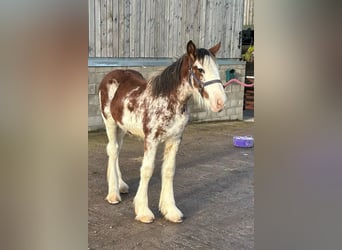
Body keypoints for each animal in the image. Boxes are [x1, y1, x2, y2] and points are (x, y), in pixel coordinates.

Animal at [98, 40, 227, 224]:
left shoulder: (175, 139)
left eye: (216, 68)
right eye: (199, 69)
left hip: (121, 127)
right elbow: (147, 170)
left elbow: (168, 170)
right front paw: (143, 211)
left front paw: (170, 210)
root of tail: (111, 75)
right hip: (109, 122)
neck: (168, 100)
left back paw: (120, 186)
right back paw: (113, 193)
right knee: (113, 151)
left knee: (115, 150)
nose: (220, 102)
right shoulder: (151, 140)